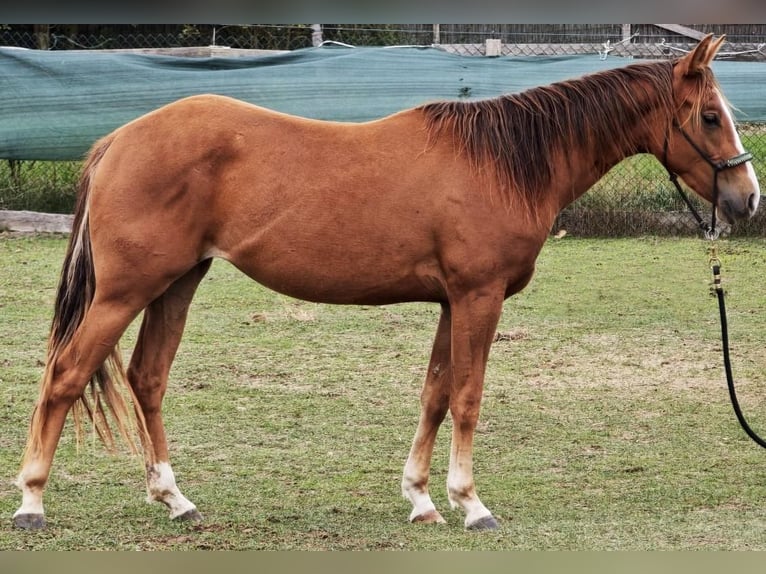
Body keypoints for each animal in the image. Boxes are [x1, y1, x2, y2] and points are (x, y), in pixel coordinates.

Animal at [13, 34, 760, 531]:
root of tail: (117, 141)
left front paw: (423, 498)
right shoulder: (478, 298)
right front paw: (471, 504)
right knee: (66, 374)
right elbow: (467, 399)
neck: (503, 164)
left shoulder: (452, 302)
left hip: (176, 283)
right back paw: (31, 501)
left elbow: (434, 394)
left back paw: (175, 499)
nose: (748, 199)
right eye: (710, 116)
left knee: (147, 378)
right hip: (124, 291)